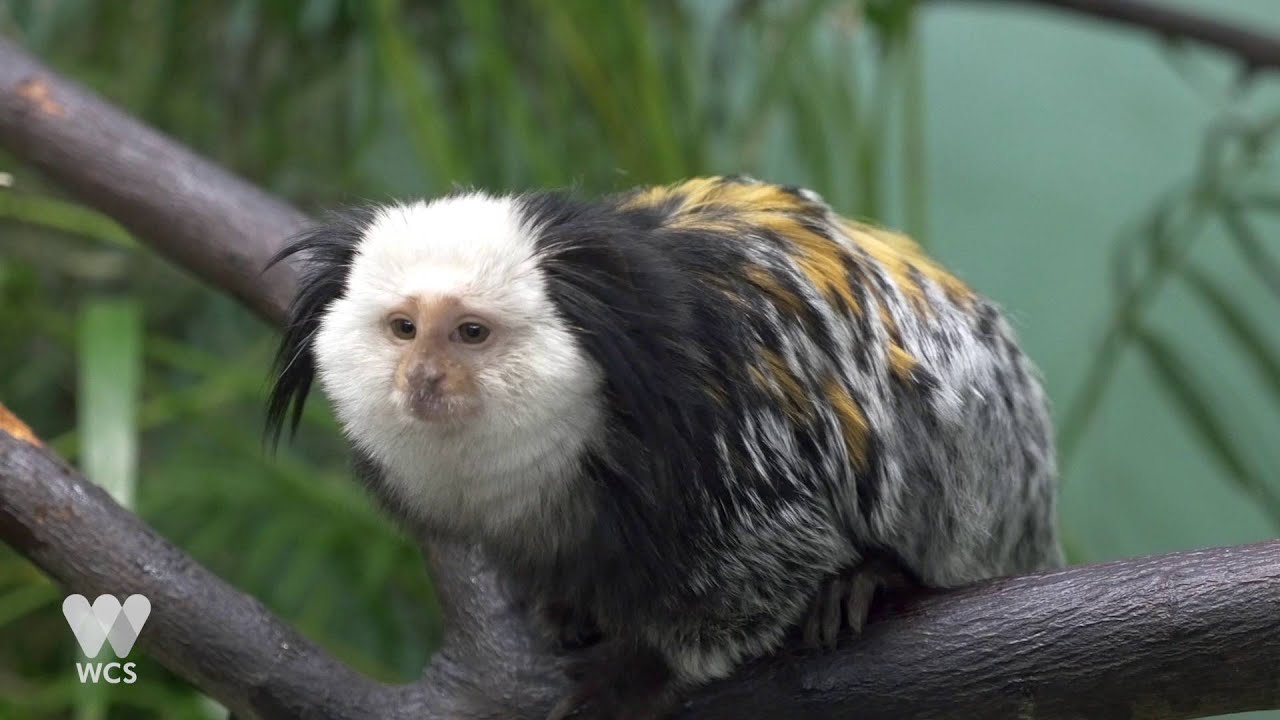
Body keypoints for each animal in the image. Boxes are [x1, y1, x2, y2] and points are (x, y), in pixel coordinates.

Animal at [266, 176, 1061, 719]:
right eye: (403, 328)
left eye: (470, 333)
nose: (422, 377)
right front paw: (569, 611)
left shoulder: (733, 459)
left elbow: (760, 580)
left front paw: (638, 673)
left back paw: (873, 577)